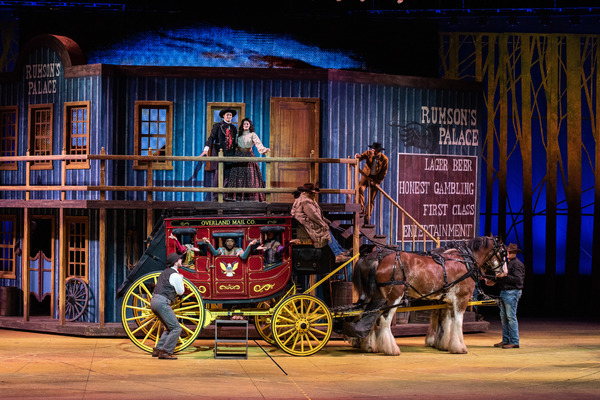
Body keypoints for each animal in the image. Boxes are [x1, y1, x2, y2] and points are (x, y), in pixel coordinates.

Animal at [350, 236, 508, 354]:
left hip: (376, 297)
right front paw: (459, 347)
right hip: (393, 297)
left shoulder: (447, 301)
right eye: (503, 252)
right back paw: (391, 349)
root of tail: (378, 260)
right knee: (384, 320)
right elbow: (457, 322)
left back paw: (369, 345)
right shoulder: (461, 299)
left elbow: (445, 321)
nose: (504, 273)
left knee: (369, 316)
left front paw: (443, 344)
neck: (464, 261)